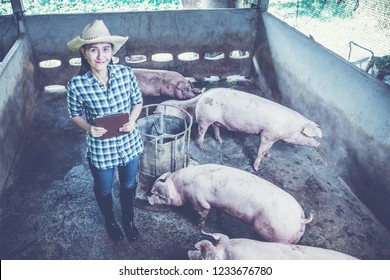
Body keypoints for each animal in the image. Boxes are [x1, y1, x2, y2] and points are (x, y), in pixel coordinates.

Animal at [148, 163, 312, 244]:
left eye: (159, 195)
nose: (149, 200)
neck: (180, 186)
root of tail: (300, 218)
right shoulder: (221, 205)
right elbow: (220, 213)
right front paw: (220, 223)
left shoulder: (199, 201)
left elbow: (203, 213)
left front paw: (198, 226)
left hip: (275, 232)